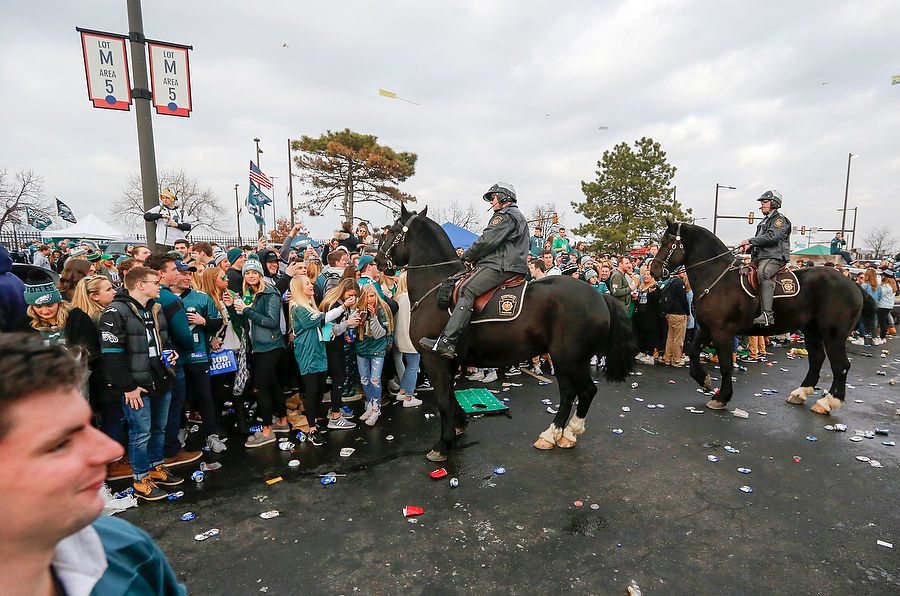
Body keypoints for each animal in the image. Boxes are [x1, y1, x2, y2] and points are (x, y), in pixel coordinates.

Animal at [376, 205, 636, 460]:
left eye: (391, 231)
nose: (378, 260)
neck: (435, 284)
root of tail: (600, 297)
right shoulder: (449, 361)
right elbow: (450, 395)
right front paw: (459, 423)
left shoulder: (434, 358)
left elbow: (442, 399)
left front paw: (443, 443)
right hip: (565, 361)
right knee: (568, 394)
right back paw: (553, 435)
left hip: (570, 359)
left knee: (587, 391)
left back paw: (569, 432)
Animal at [652, 219, 868, 414]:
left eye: (669, 243)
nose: (654, 271)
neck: (718, 278)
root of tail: (852, 284)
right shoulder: (706, 328)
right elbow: (693, 351)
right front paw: (703, 380)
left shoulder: (722, 333)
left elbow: (725, 365)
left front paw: (721, 398)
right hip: (812, 332)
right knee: (816, 360)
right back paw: (800, 393)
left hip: (834, 336)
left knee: (840, 366)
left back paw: (828, 402)